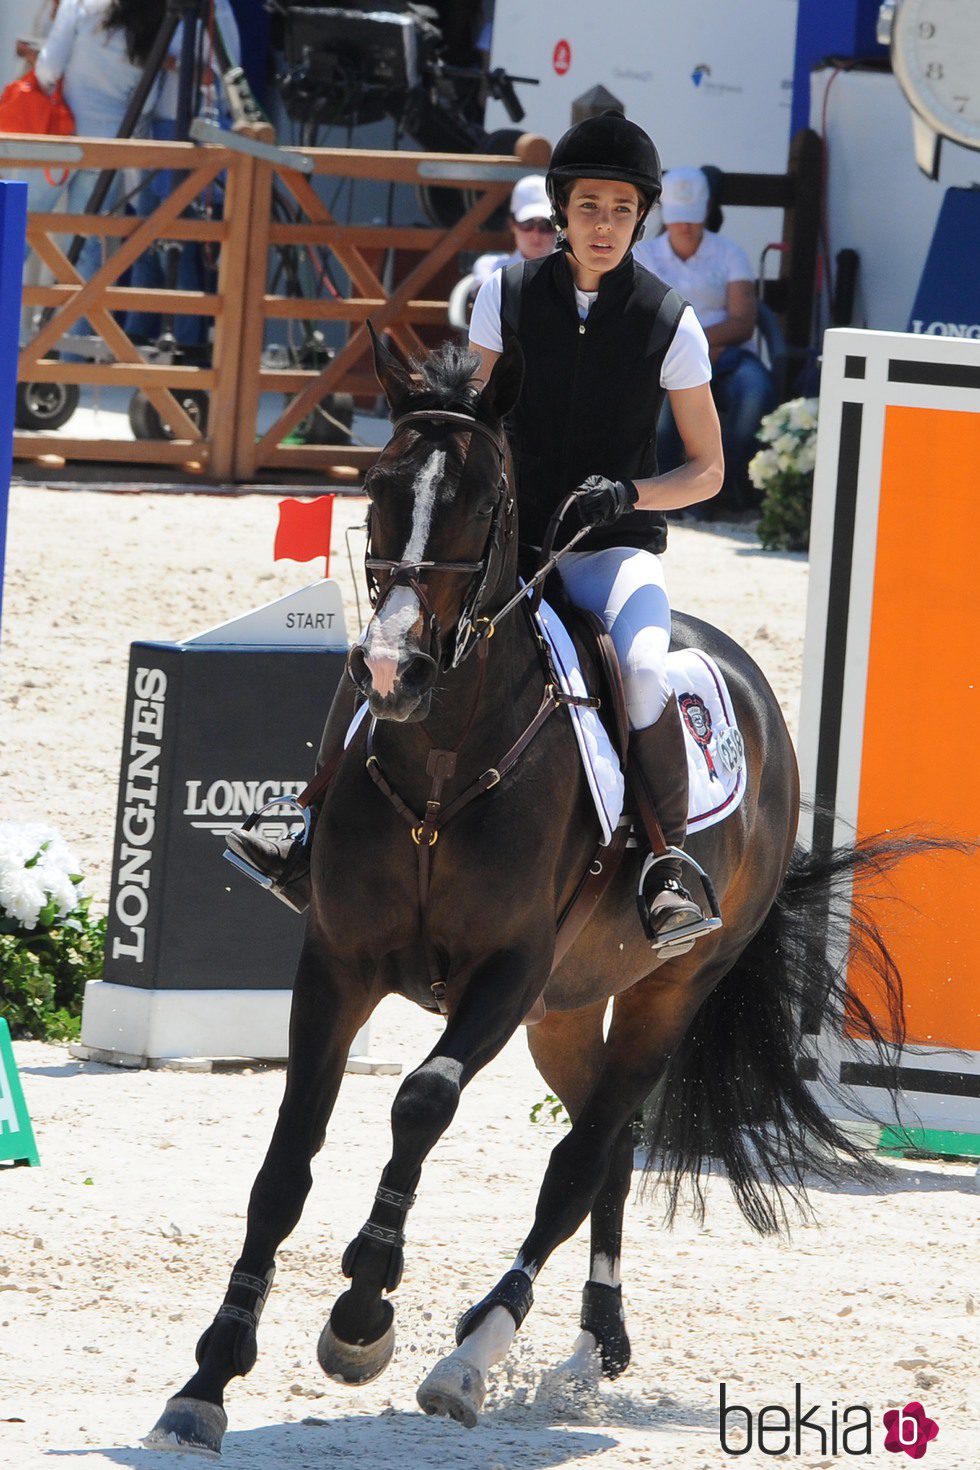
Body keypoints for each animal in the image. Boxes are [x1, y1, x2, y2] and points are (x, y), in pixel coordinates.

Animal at [145, 330, 910, 1446]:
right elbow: (287, 1157)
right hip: (569, 1007)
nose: (390, 671)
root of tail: (751, 694)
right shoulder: (337, 964)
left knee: (579, 1160)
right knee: (610, 1144)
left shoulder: (504, 973)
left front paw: (362, 1311)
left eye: (486, 501)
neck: (440, 766)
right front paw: (207, 1377)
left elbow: (421, 1100)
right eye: (377, 489)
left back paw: (471, 1354)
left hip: (663, 990)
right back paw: (595, 1344)